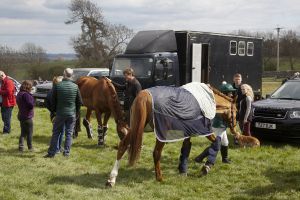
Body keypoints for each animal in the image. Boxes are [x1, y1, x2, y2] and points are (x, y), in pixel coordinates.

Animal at [106, 83, 239, 187]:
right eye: (236, 111)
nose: (235, 130)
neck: (205, 98)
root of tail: (144, 94)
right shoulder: (203, 130)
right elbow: (216, 142)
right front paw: (206, 166)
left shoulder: (187, 133)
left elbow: (186, 149)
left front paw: (183, 170)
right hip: (161, 133)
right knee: (156, 153)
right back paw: (159, 177)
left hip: (136, 127)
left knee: (123, 145)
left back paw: (112, 179)